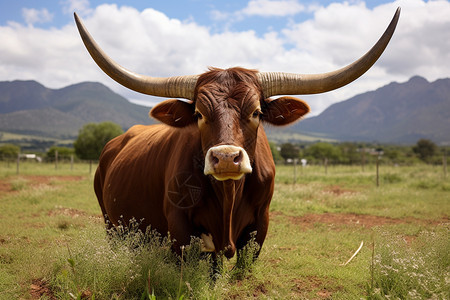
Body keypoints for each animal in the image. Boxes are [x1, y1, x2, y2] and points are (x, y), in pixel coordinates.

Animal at [74, 7, 400, 260]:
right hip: (111, 224)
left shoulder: (259, 228)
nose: (226, 158)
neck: (228, 198)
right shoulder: (180, 232)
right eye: (198, 114)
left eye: (255, 112)